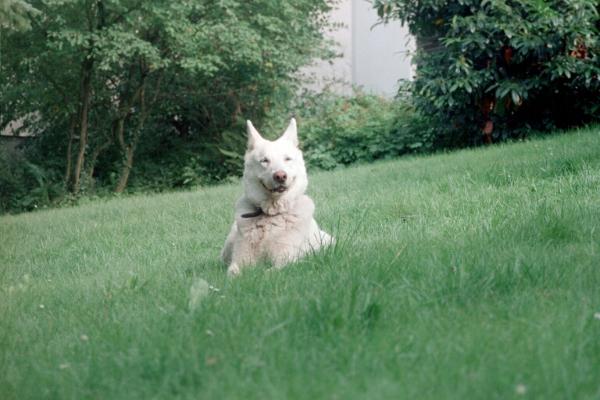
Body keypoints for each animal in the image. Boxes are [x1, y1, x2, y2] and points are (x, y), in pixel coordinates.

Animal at [220, 117, 332, 276]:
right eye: (264, 160)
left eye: (287, 159)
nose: (280, 176)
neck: (272, 214)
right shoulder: (240, 260)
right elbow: (232, 273)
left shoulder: (286, 260)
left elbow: (266, 273)